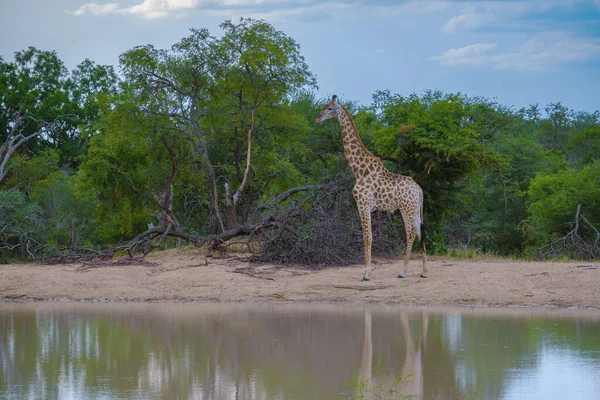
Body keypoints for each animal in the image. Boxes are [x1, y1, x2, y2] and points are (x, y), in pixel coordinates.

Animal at [314, 95, 426, 280]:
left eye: (329, 108)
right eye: (324, 106)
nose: (318, 118)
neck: (359, 170)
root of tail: (419, 190)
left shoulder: (363, 204)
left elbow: (367, 237)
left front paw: (366, 273)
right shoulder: (367, 206)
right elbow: (367, 237)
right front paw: (367, 270)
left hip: (405, 208)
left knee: (410, 232)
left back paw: (403, 271)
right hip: (415, 208)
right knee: (419, 231)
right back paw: (424, 270)